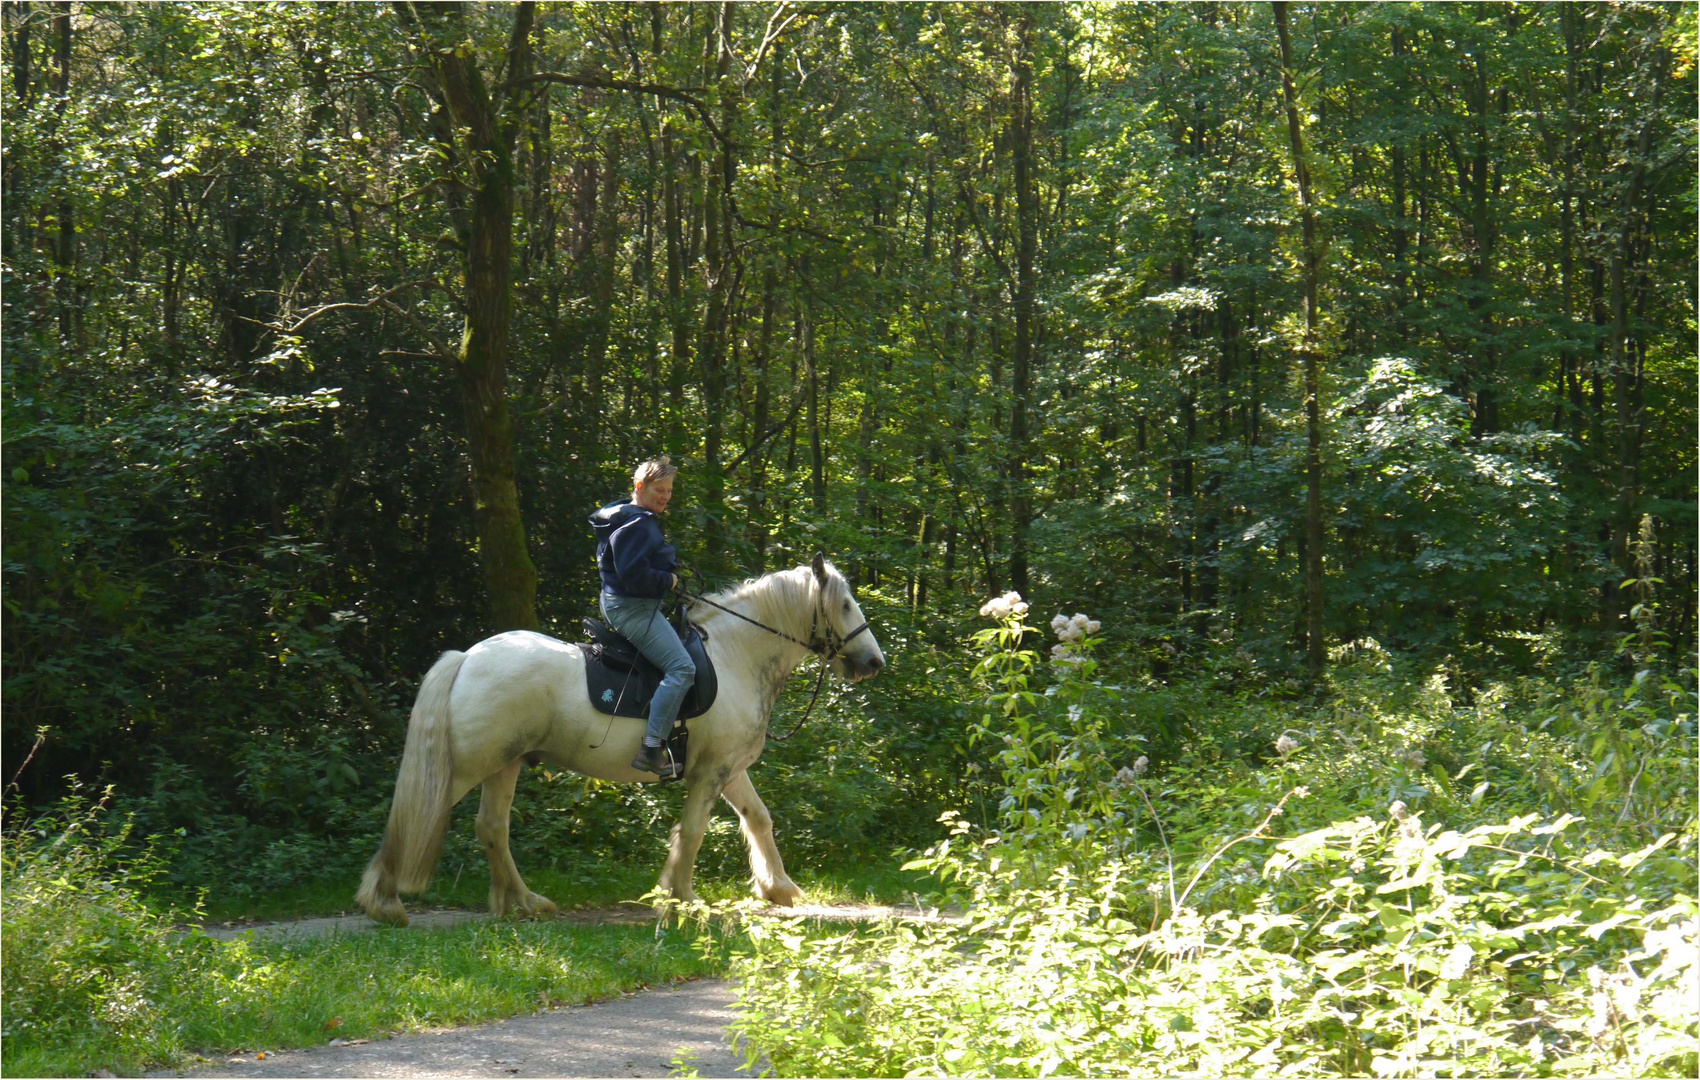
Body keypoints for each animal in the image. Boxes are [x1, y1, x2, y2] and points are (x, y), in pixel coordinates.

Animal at [358, 554, 890, 925]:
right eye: (845, 604)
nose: (874, 662)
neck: (737, 656)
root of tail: (468, 656)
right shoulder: (711, 773)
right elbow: (693, 831)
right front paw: (680, 899)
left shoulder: (729, 769)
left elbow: (758, 818)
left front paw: (778, 887)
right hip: (468, 766)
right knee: (414, 817)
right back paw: (384, 903)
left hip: (504, 764)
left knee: (492, 829)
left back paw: (523, 902)